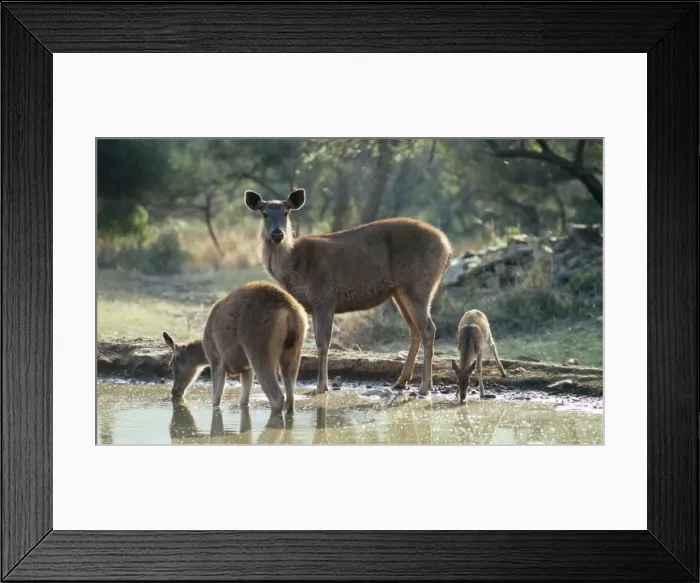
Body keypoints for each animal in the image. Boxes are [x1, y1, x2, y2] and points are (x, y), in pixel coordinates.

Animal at [162, 280, 308, 413]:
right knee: (290, 397)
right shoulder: (246, 368)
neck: (204, 351)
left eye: (171, 365)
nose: (174, 391)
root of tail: (289, 310)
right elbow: (244, 401)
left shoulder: (216, 359)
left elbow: (216, 400)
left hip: (259, 348)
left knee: (277, 397)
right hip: (294, 351)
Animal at [245, 188, 453, 397]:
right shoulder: (313, 305)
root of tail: (447, 247)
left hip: (419, 285)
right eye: (264, 213)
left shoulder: (325, 297)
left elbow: (322, 343)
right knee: (415, 330)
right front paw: (323, 385)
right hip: (400, 291)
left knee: (429, 329)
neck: (292, 269)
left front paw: (322, 387)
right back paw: (401, 381)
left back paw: (424, 386)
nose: (277, 234)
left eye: (286, 213)